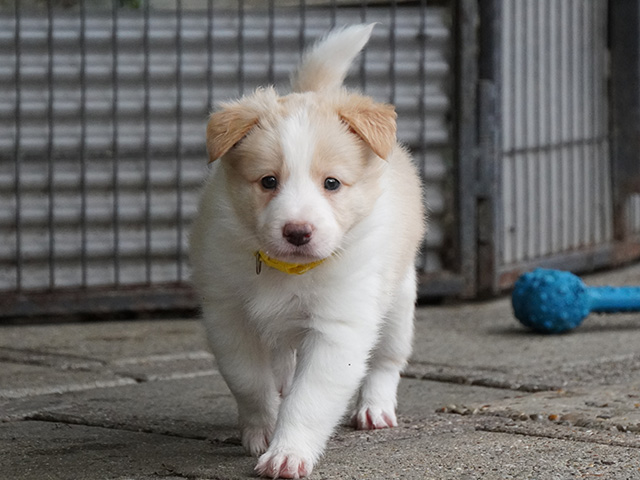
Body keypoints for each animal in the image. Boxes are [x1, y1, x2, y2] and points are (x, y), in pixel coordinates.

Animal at [189, 23, 425, 479]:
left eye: (331, 183)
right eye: (268, 181)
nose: (297, 232)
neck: (287, 270)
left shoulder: (339, 325)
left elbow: (310, 399)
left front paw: (287, 453)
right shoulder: (228, 314)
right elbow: (249, 380)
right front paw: (262, 429)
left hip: (398, 299)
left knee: (387, 358)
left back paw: (375, 408)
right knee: (282, 361)